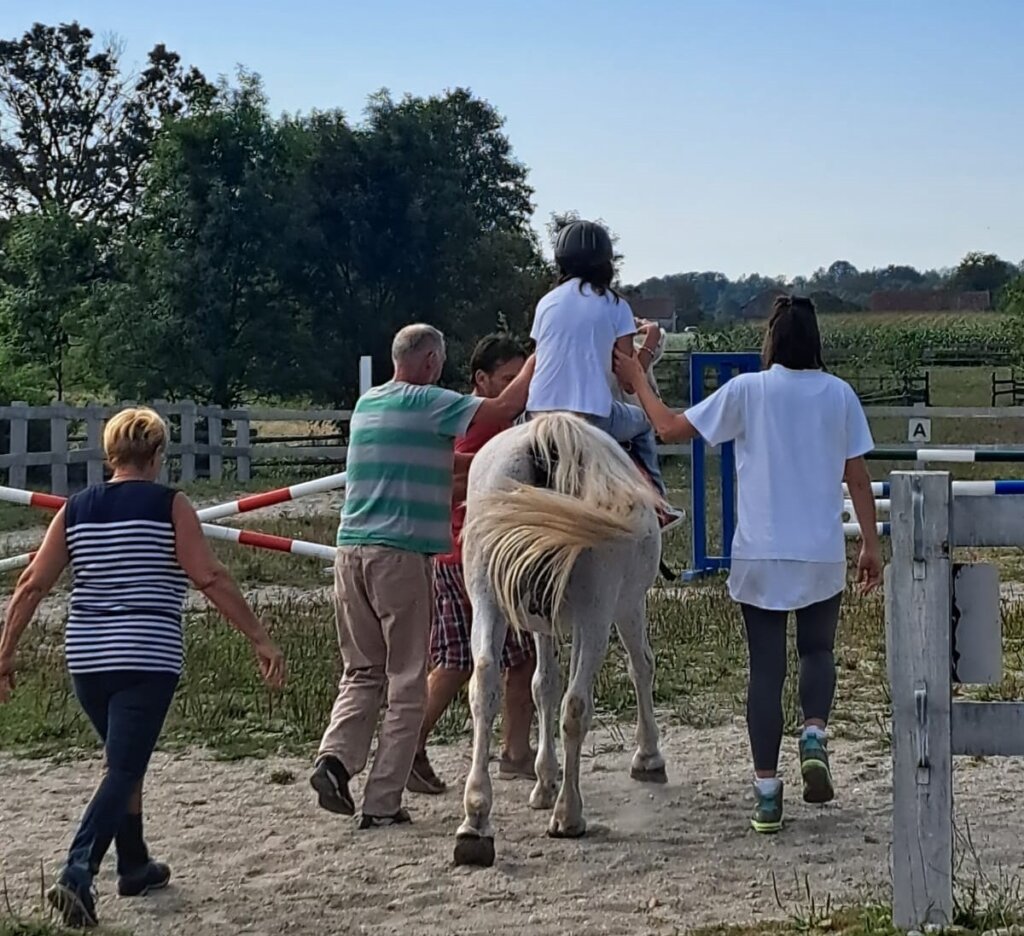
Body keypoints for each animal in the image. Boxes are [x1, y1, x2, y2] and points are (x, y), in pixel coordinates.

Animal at [454, 411, 663, 864]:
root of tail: (549, 439)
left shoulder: (539, 623)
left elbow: (542, 686)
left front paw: (545, 781)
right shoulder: (627, 606)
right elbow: (640, 667)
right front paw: (648, 756)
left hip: (488, 600)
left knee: (485, 687)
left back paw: (476, 819)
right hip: (597, 615)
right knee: (577, 704)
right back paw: (569, 814)